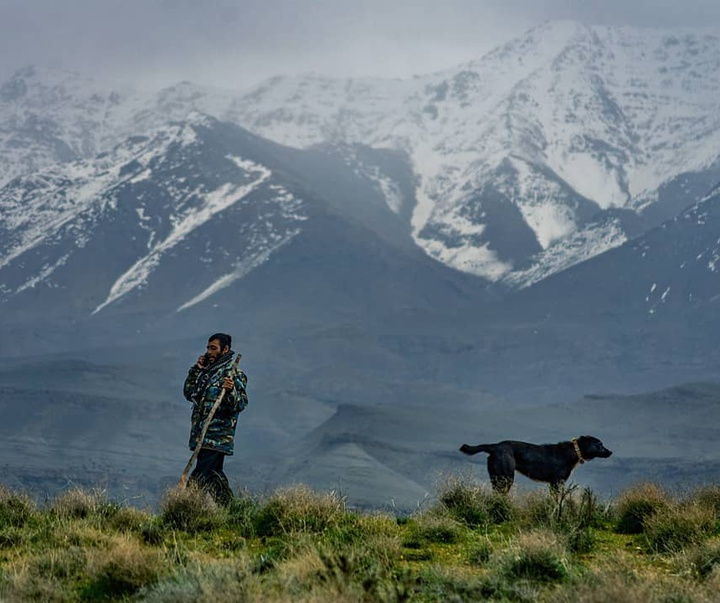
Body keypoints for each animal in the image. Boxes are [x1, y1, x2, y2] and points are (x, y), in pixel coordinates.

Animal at [458, 436, 612, 494]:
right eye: (600, 444)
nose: (610, 452)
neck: (572, 452)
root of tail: (494, 446)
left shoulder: (554, 483)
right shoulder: (557, 482)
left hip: (496, 477)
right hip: (506, 477)